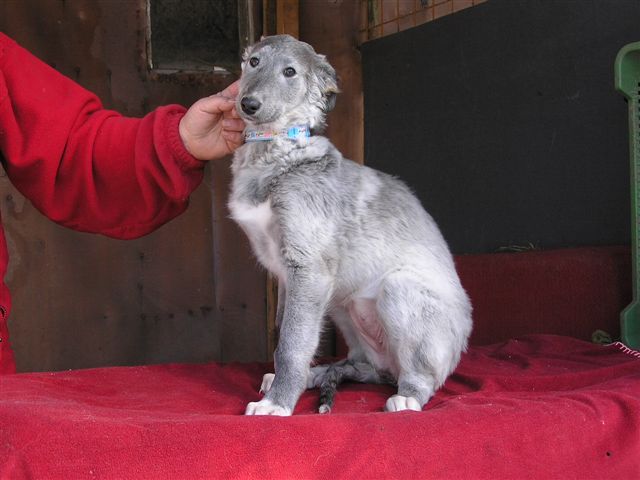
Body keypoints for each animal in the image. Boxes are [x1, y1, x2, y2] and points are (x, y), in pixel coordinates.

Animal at [228, 35, 472, 416]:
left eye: (290, 72)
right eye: (253, 62)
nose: (248, 104)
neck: (278, 151)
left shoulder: (308, 267)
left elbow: (292, 343)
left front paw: (277, 404)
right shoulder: (287, 275)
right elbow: (284, 333)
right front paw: (285, 387)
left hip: (398, 290)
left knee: (423, 378)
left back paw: (407, 397)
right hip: (342, 301)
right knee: (363, 366)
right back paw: (319, 375)